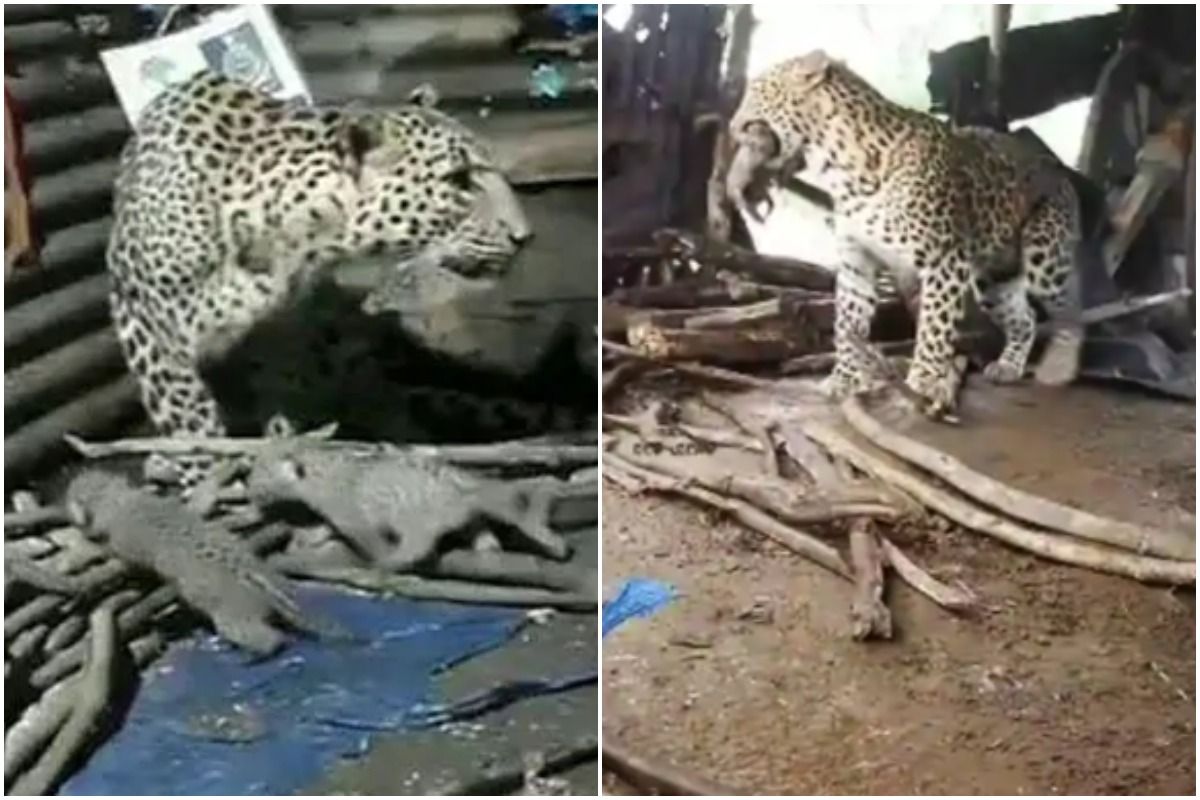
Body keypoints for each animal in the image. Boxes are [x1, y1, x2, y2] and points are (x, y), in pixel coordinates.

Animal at [106, 70, 532, 489]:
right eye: (458, 180)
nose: (524, 236)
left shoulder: (282, 333)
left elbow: (283, 398)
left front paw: (281, 457)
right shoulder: (151, 329)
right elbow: (190, 420)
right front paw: (211, 483)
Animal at [726, 50, 1085, 416]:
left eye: (757, 90)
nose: (732, 127)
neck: (840, 167)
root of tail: (1055, 166)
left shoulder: (944, 260)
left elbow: (934, 326)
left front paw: (924, 380)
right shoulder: (856, 259)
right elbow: (847, 322)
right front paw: (845, 377)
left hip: (1045, 260)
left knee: (1072, 305)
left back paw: (1062, 363)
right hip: (994, 279)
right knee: (1026, 318)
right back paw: (1009, 366)